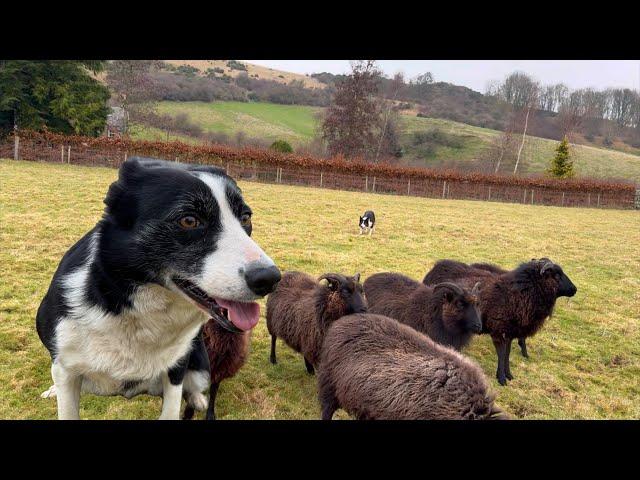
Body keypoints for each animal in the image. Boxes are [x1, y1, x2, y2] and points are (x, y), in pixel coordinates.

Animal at [35, 158, 280, 420]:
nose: (270, 279)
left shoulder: (177, 367)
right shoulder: (65, 368)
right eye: (189, 220)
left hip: (202, 365)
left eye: (245, 217)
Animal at [422, 258, 576, 386]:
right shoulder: (497, 329)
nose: (575, 289)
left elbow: (507, 354)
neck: (516, 293)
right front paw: (501, 378)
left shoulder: (510, 332)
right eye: (556, 276)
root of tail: (436, 267)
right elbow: (501, 354)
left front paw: (508, 374)